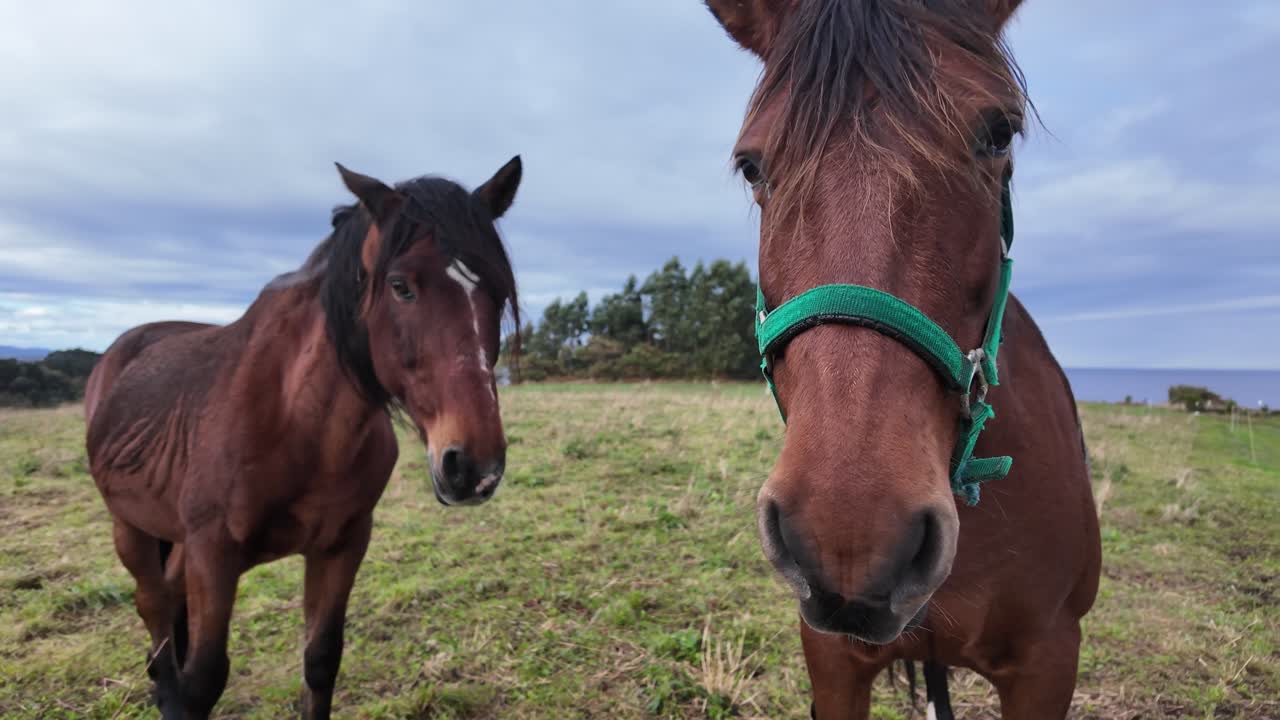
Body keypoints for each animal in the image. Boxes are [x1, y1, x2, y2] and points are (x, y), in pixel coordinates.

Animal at [83, 156, 524, 719]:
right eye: (401, 286)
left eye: (497, 290)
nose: (474, 468)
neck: (299, 424)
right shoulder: (212, 555)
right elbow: (203, 680)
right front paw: (180, 696)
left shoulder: (342, 545)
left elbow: (320, 660)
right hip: (131, 528)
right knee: (155, 610)